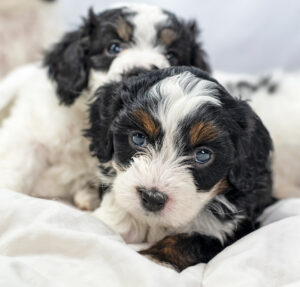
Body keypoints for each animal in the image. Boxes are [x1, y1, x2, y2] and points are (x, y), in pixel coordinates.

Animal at [86, 66, 274, 272]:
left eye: (203, 155)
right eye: (138, 138)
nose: (152, 198)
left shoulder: (237, 227)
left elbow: (191, 242)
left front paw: (155, 258)